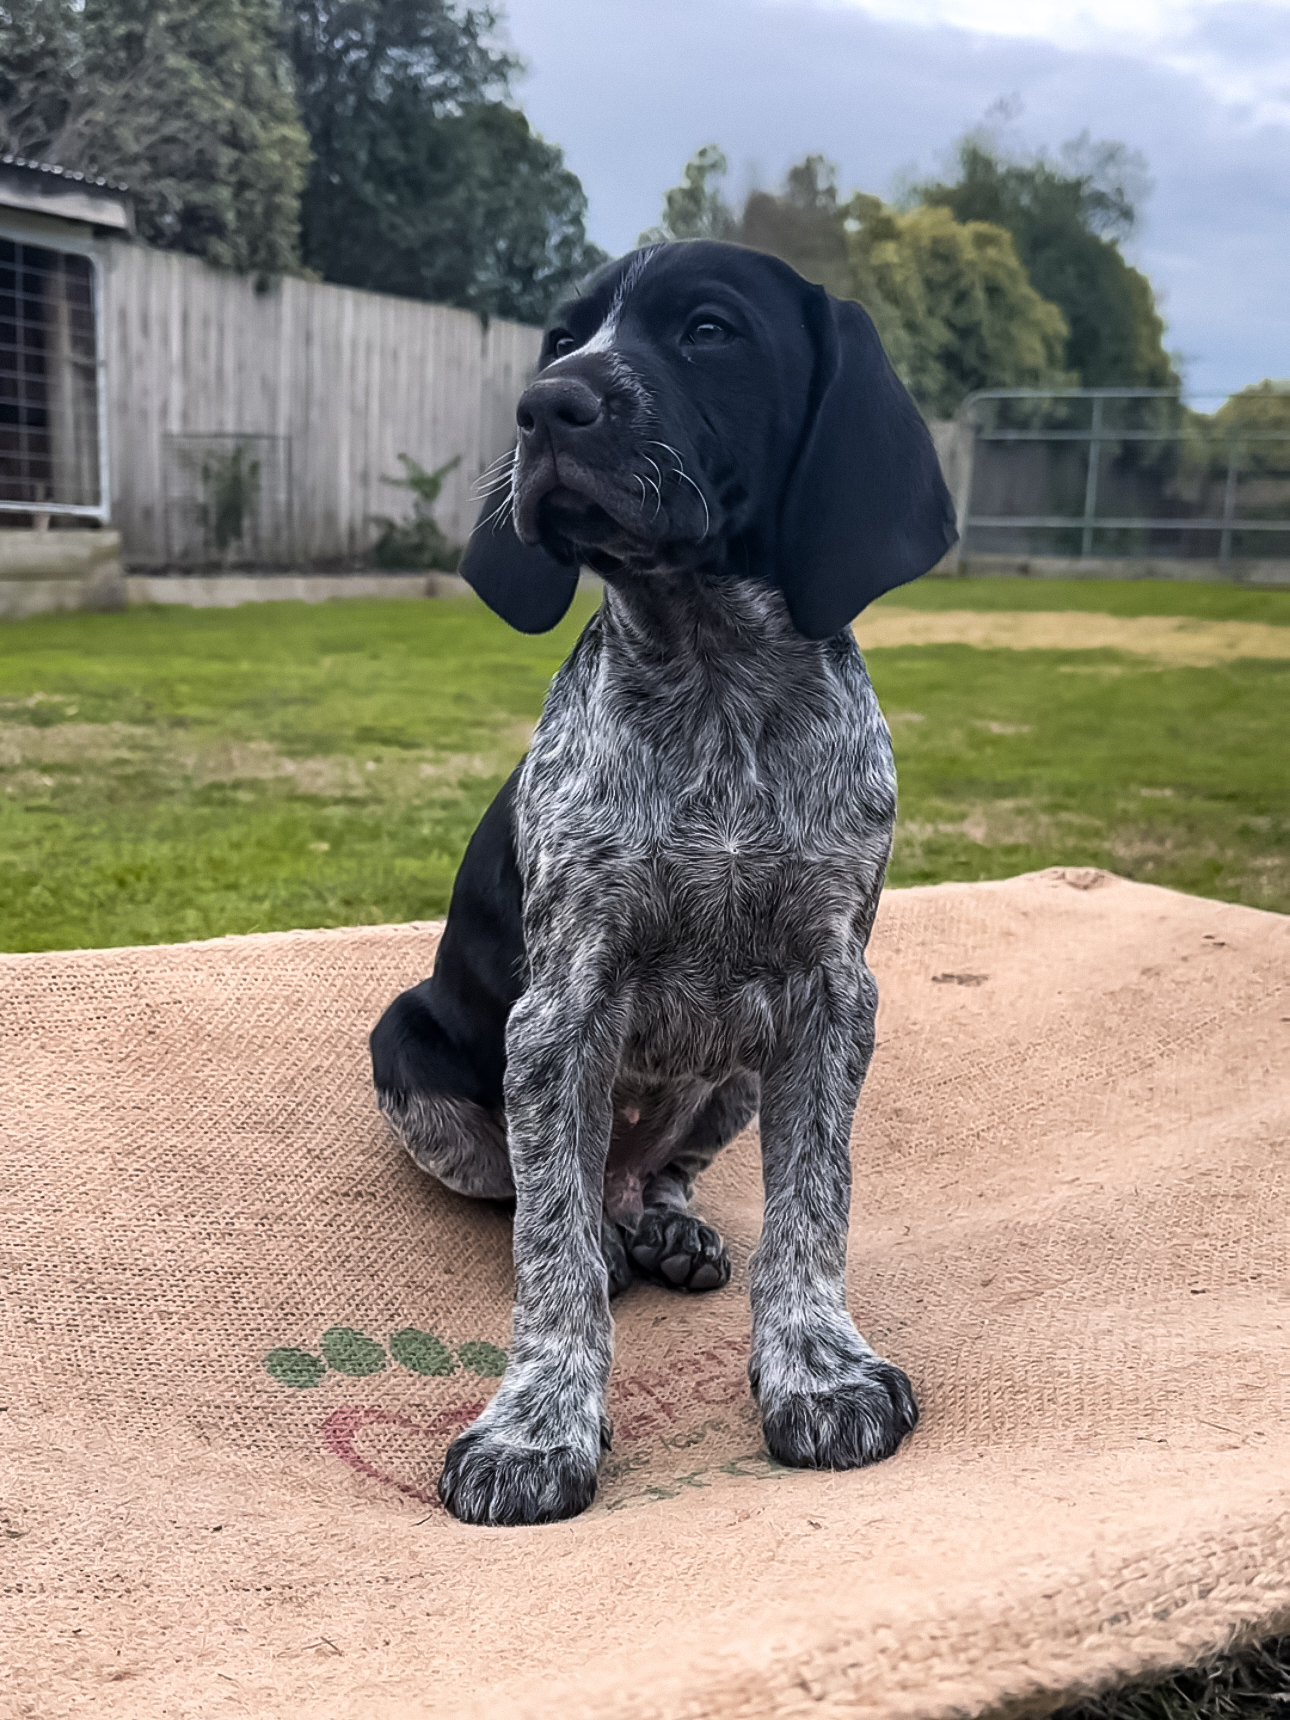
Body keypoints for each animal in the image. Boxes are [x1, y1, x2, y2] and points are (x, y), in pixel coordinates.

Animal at [368, 235, 956, 1527]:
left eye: (709, 331)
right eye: (559, 338)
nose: (547, 406)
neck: (716, 680)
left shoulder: (833, 993)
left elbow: (812, 1206)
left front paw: (817, 1366)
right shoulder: (560, 1005)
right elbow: (550, 1260)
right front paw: (536, 1427)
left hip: (731, 1076)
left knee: (655, 1178)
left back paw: (666, 1227)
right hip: (411, 1046)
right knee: (545, 1196)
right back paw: (605, 1233)